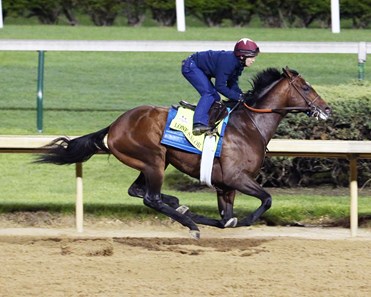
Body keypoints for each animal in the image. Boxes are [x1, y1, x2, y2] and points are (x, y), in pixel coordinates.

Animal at [35, 67, 332, 238]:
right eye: (306, 87)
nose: (327, 108)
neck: (251, 124)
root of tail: (115, 124)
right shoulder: (236, 177)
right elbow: (266, 200)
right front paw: (243, 220)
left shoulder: (225, 185)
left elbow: (226, 219)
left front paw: (208, 216)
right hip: (153, 159)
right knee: (151, 198)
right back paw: (190, 224)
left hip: (156, 162)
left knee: (138, 191)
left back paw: (181, 206)